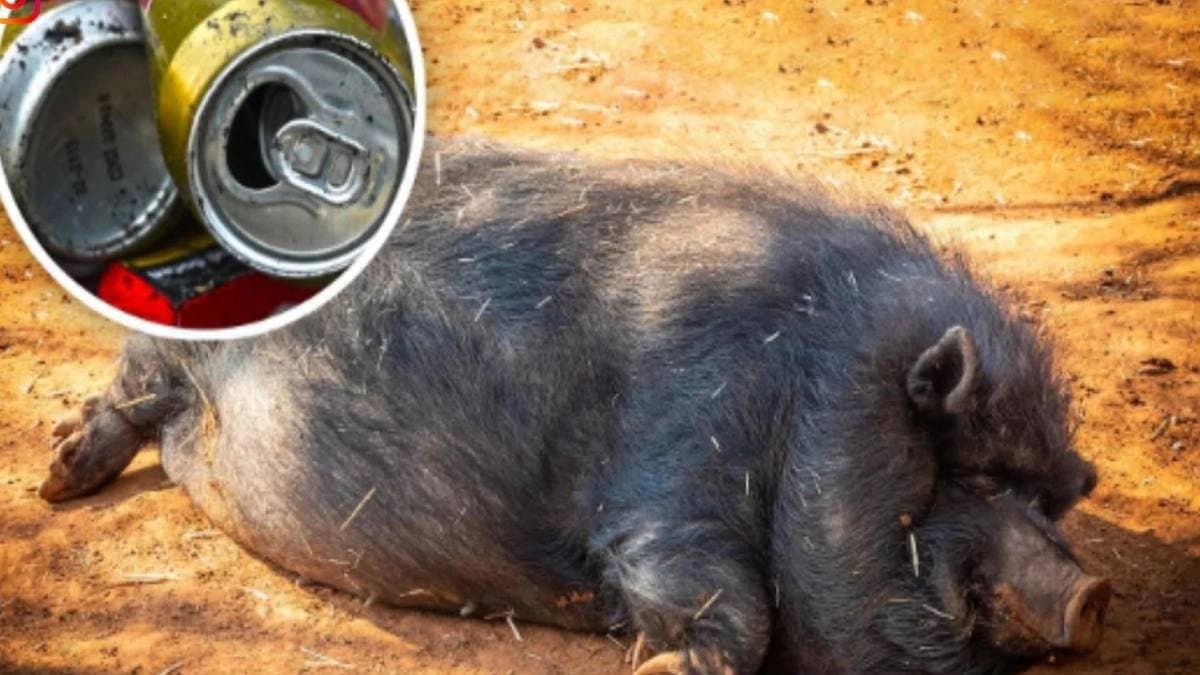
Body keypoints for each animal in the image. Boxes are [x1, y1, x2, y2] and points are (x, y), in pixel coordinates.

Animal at [40, 138, 1109, 674]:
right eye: (973, 471)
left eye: (1051, 498)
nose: (1093, 591)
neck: (807, 393)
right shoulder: (671, 476)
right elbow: (734, 609)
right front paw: (656, 668)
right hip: (163, 348)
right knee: (128, 389)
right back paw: (55, 479)